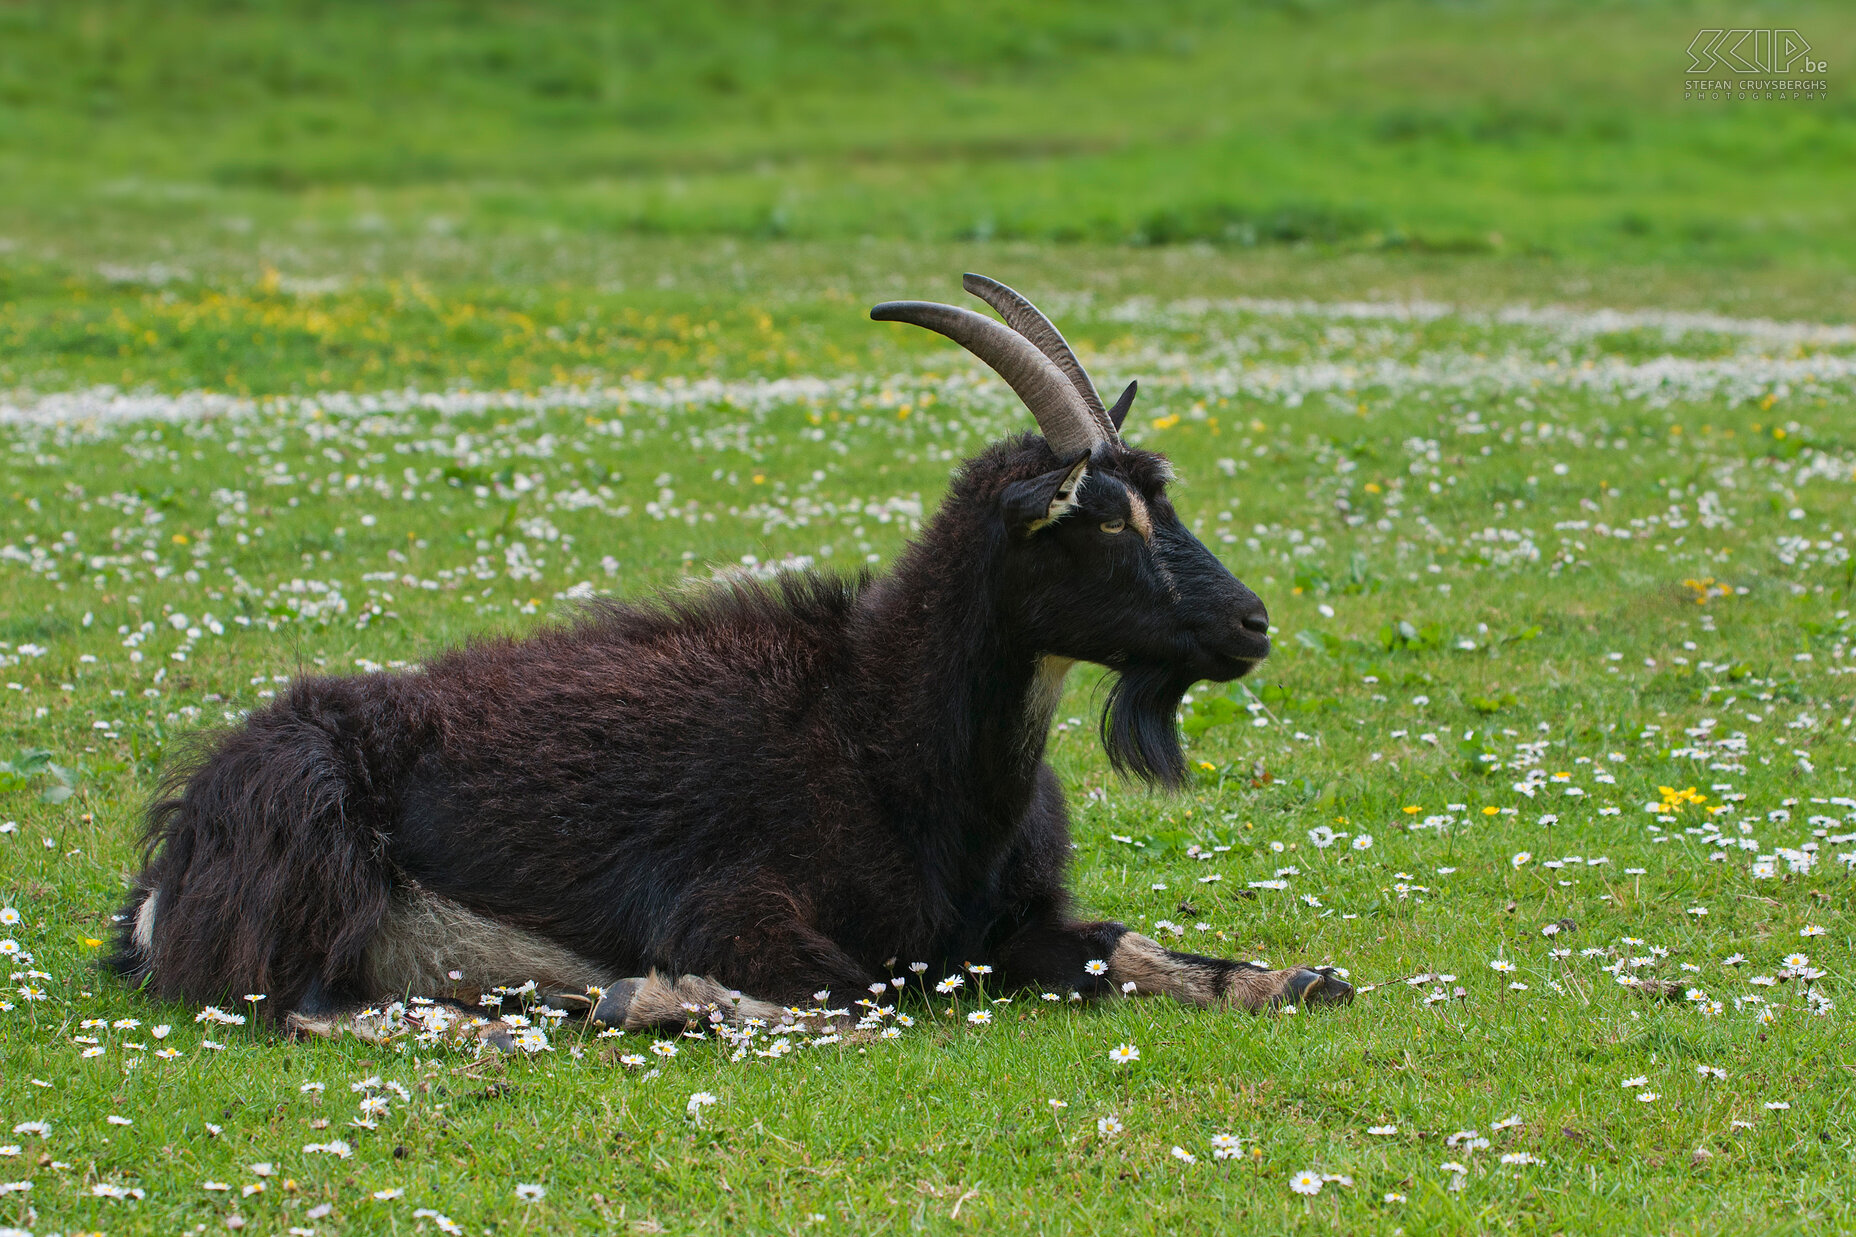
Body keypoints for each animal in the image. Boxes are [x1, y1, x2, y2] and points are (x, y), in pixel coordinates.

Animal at [112, 274, 1351, 1032]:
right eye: (1096, 518)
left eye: (1156, 498)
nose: (1249, 624)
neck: (881, 728)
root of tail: (168, 869)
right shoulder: (727, 905)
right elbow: (858, 997)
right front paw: (654, 998)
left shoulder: (1004, 925)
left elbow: (1125, 947)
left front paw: (1297, 975)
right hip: (317, 864)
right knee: (302, 1004)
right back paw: (523, 1027)